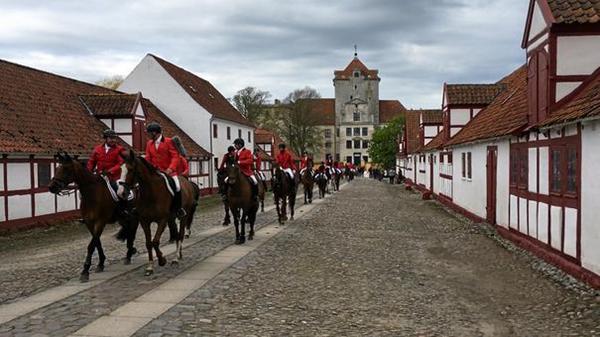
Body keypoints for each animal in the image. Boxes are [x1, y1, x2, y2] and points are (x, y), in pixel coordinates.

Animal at [48, 152, 138, 280]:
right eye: (56, 168)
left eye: (66, 169)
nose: (51, 187)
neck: (92, 194)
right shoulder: (89, 223)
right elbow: (97, 242)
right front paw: (100, 263)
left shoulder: (100, 222)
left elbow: (91, 245)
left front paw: (85, 270)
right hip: (123, 217)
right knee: (129, 229)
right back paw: (130, 251)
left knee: (132, 229)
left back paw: (129, 253)